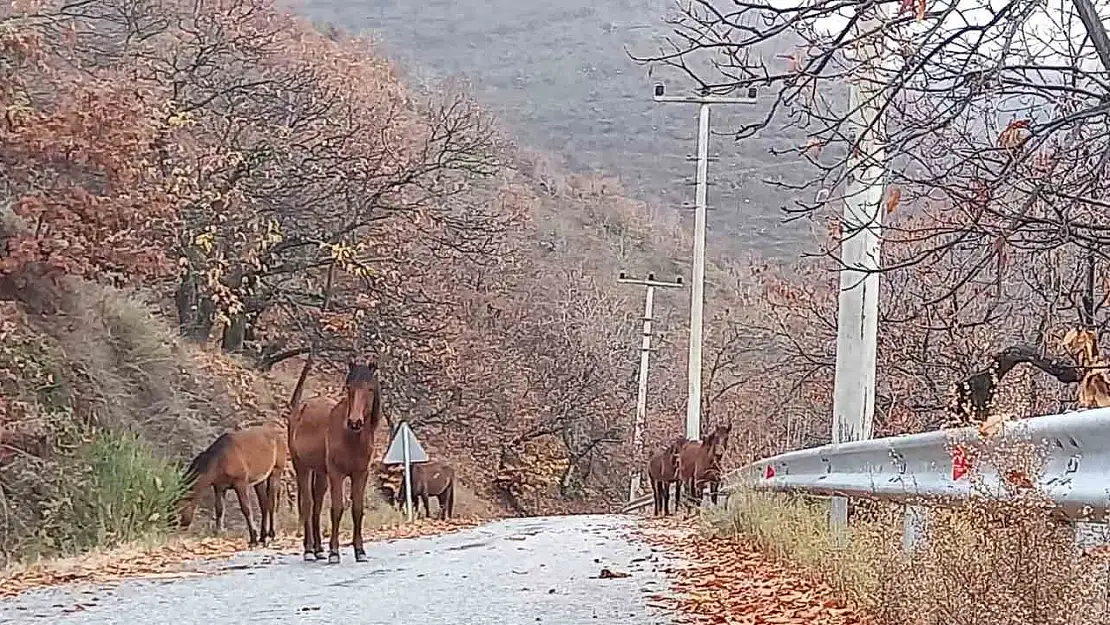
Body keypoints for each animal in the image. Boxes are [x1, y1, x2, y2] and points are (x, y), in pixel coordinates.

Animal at [288, 359, 384, 563]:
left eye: (370, 388)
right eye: (349, 387)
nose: (355, 422)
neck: (351, 437)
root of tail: (301, 406)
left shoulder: (360, 475)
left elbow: (357, 510)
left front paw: (360, 551)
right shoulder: (336, 474)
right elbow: (337, 509)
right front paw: (334, 552)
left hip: (321, 472)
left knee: (316, 505)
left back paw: (318, 550)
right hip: (302, 468)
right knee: (308, 504)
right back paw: (309, 550)